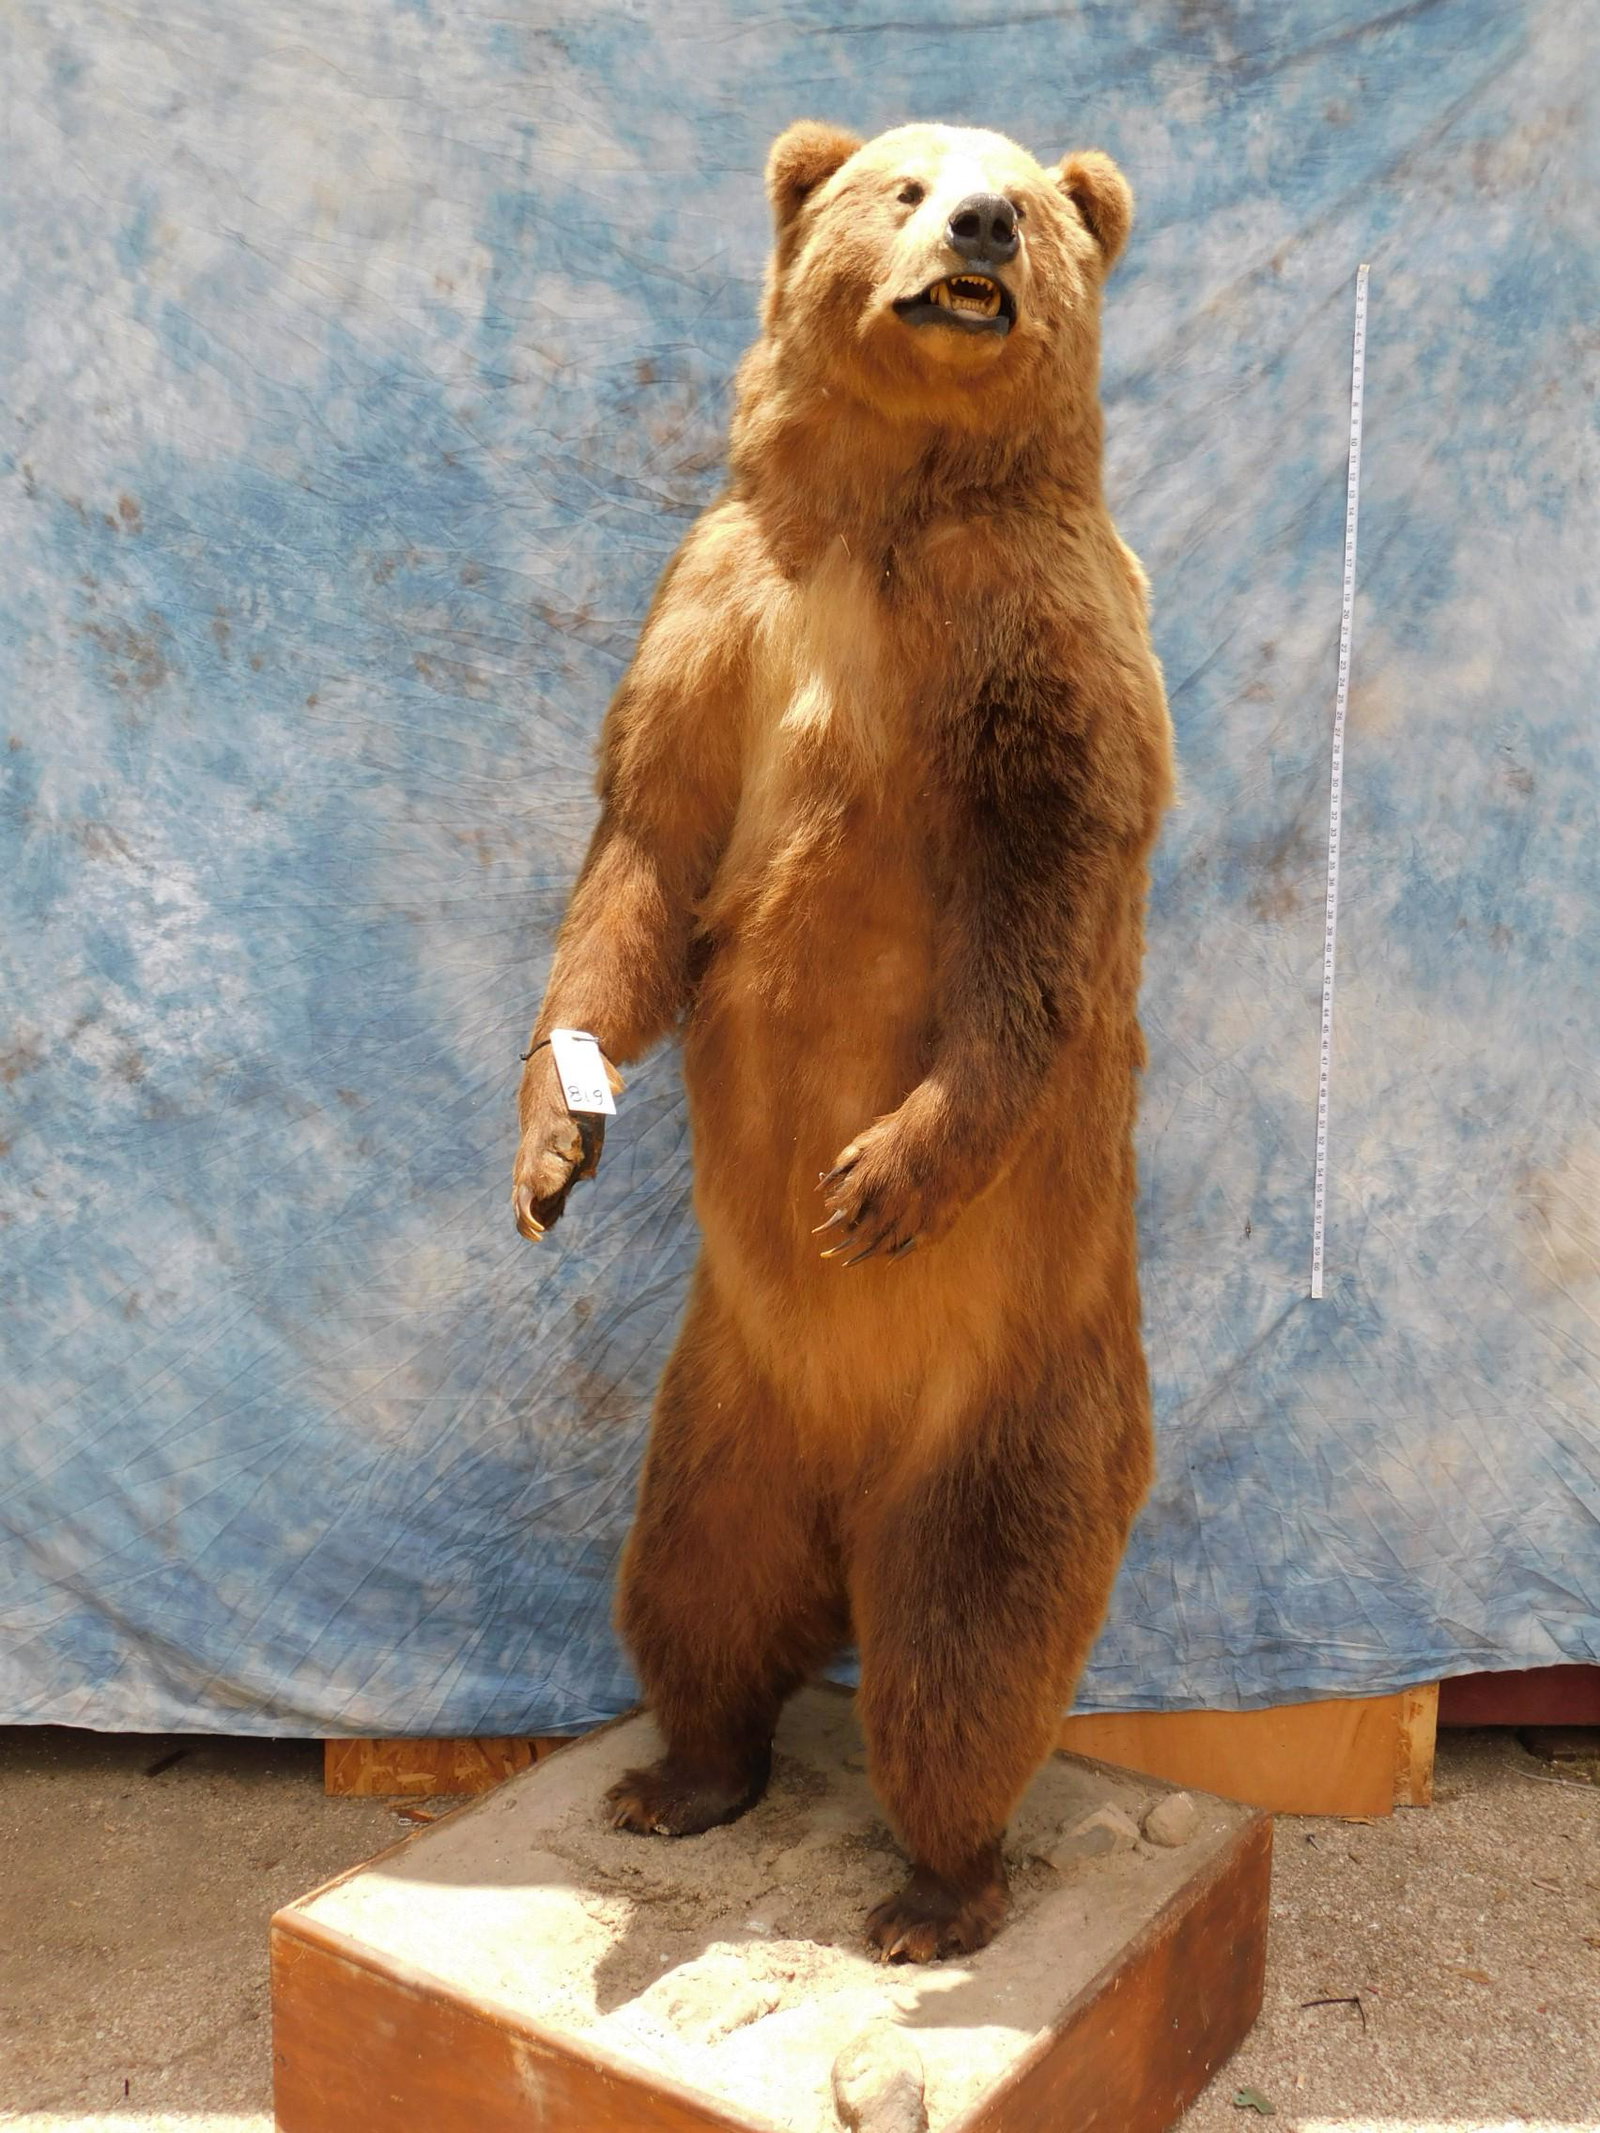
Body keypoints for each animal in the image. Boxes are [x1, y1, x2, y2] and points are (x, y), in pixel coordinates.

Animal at [512, 119, 1175, 1962]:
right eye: (902, 184)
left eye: (1024, 194)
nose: (987, 224)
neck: (888, 503)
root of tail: (845, 1493)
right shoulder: (719, 603)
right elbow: (645, 848)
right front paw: (552, 1140)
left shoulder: (1031, 644)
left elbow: (1040, 908)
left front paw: (879, 1173)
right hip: (719, 1405)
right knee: (694, 1586)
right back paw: (682, 1776)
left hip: (1010, 1408)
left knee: (964, 1651)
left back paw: (936, 1892)